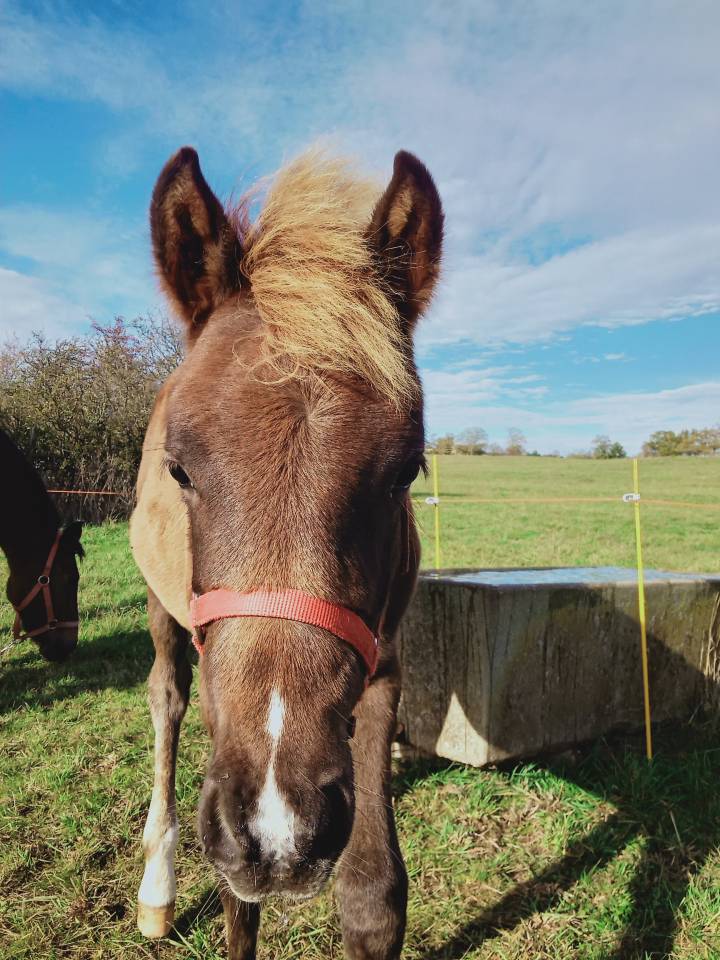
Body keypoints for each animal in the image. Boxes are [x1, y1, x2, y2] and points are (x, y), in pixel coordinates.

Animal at [129, 144, 443, 959]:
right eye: (179, 470)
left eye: (406, 470)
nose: (281, 830)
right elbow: (239, 906)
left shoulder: (382, 662)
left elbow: (373, 897)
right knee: (165, 696)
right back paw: (156, 888)